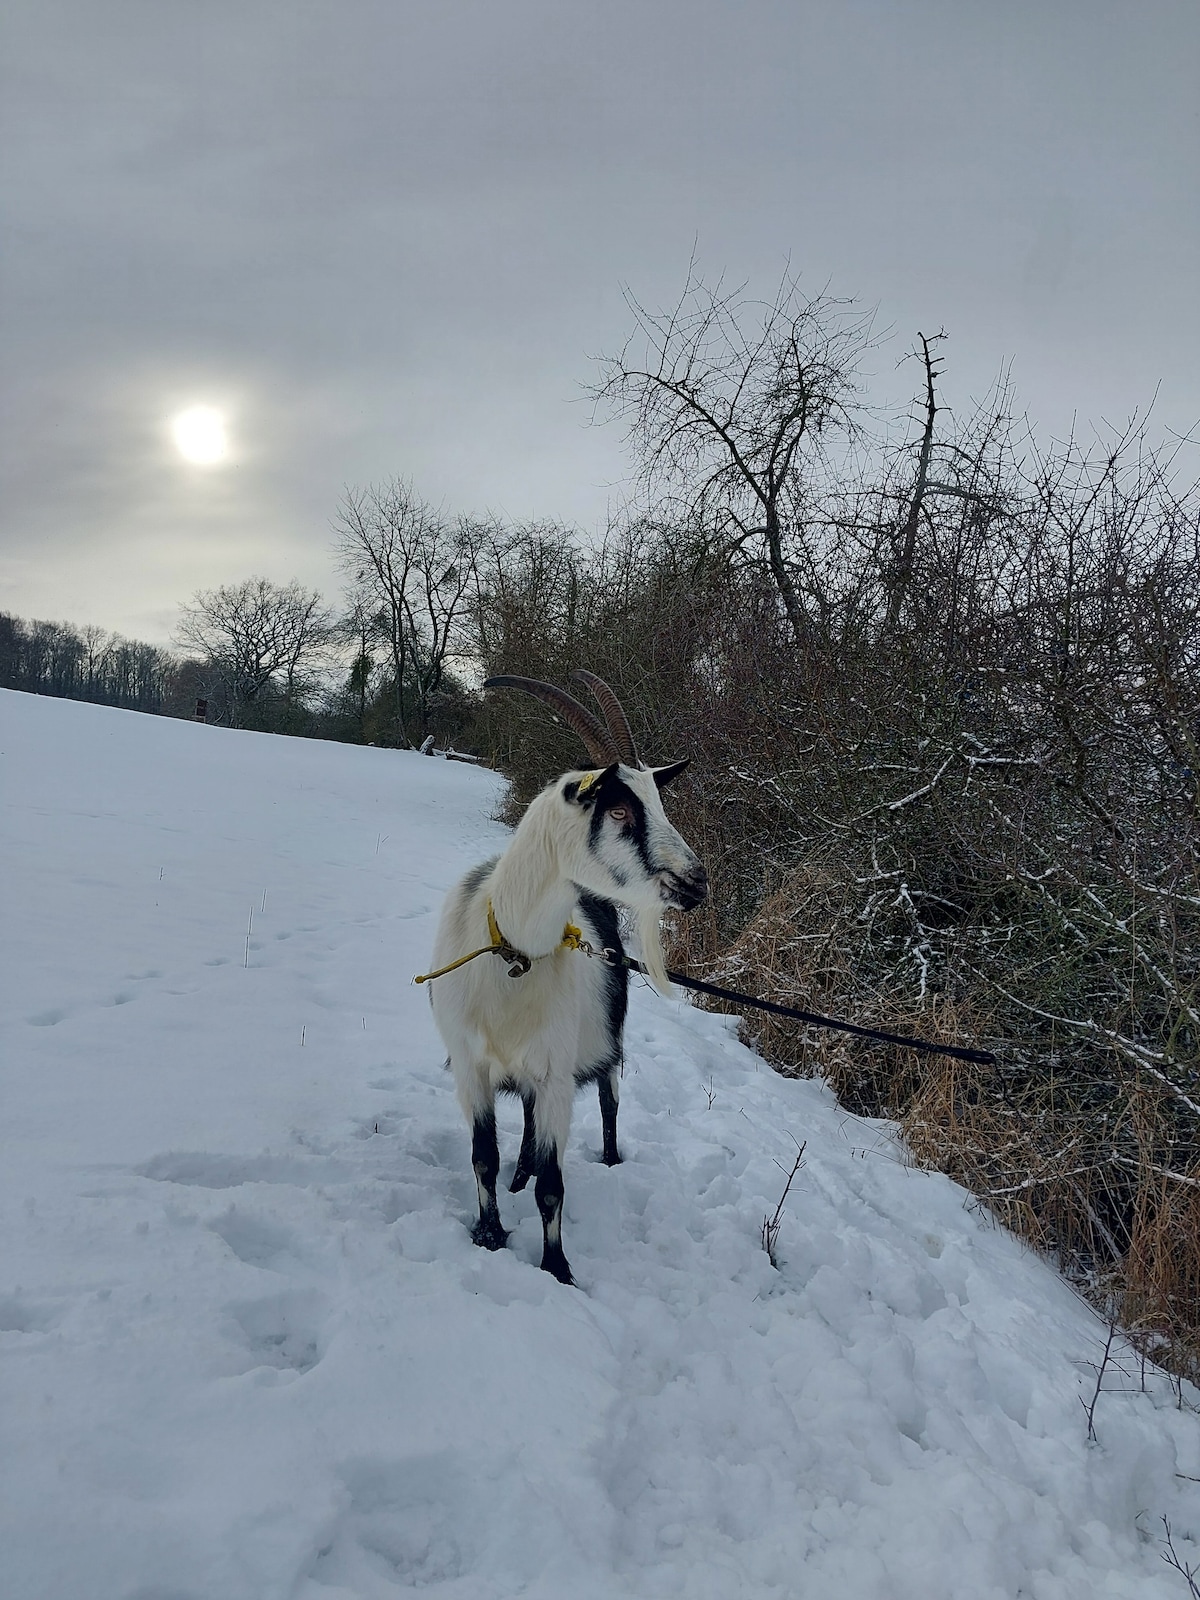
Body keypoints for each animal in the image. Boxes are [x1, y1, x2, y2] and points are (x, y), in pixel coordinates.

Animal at [423, 671, 707, 1284]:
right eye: (620, 811)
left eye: (657, 801)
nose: (696, 882)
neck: (512, 953)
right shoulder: (473, 1066)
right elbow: (483, 1156)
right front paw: (489, 1233)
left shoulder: (555, 1072)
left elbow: (554, 1186)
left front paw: (556, 1267)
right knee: (528, 1128)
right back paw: (519, 1175)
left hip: (602, 1045)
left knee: (608, 1106)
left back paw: (608, 1160)